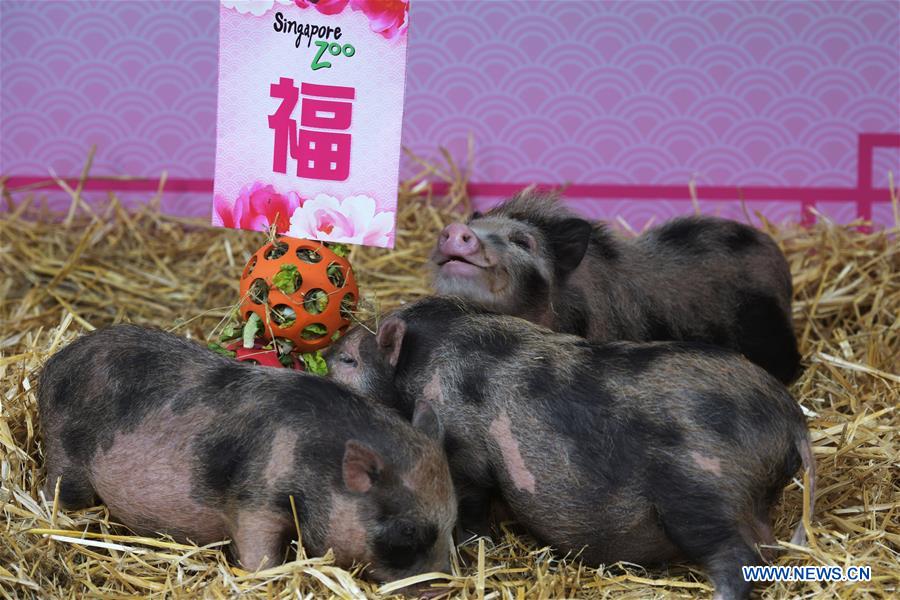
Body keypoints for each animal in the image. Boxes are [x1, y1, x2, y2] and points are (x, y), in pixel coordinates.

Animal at [37, 324, 457, 581]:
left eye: (453, 520)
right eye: (406, 529)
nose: (441, 586)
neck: (318, 462)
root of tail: (53, 365)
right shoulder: (256, 501)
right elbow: (259, 553)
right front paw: (263, 576)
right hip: (64, 451)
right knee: (57, 488)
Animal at [326, 297, 816, 600]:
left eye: (350, 360)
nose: (326, 355)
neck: (423, 366)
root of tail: (791, 421)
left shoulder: (465, 452)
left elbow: (472, 501)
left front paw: (477, 543)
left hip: (701, 491)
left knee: (740, 556)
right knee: (766, 548)